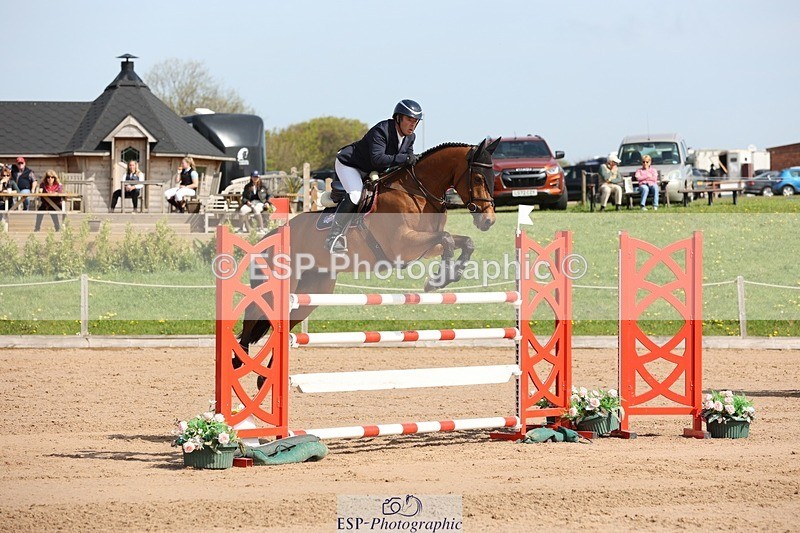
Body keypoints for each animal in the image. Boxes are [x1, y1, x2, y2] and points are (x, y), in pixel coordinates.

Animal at [236, 138, 500, 358]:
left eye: (493, 176)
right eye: (478, 178)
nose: (488, 221)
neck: (418, 191)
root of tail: (269, 238)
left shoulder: (424, 247)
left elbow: (463, 242)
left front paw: (447, 276)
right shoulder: (403, 244)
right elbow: (447, 239)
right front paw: (438, 279)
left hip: (313, 291)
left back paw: (259, 379)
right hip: (277, 288)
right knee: (251, 320)